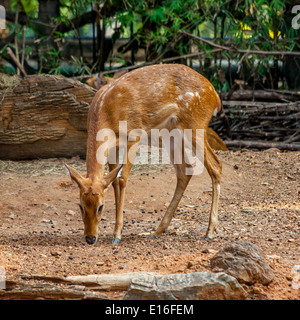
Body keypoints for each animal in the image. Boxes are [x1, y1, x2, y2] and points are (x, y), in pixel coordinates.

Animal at [64, 64, 221, 245]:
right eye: (80, 205)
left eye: (101, 206)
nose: (90, 238)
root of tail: (215, 96)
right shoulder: (113, 148)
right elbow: (114, 181)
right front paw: (115, 231)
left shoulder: (133, 136)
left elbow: (122, 179)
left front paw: (117, 235)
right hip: (171, 134)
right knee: (185, 170)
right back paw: (158, 230)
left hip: (195, 125)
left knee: (215, 165)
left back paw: (209, 231)